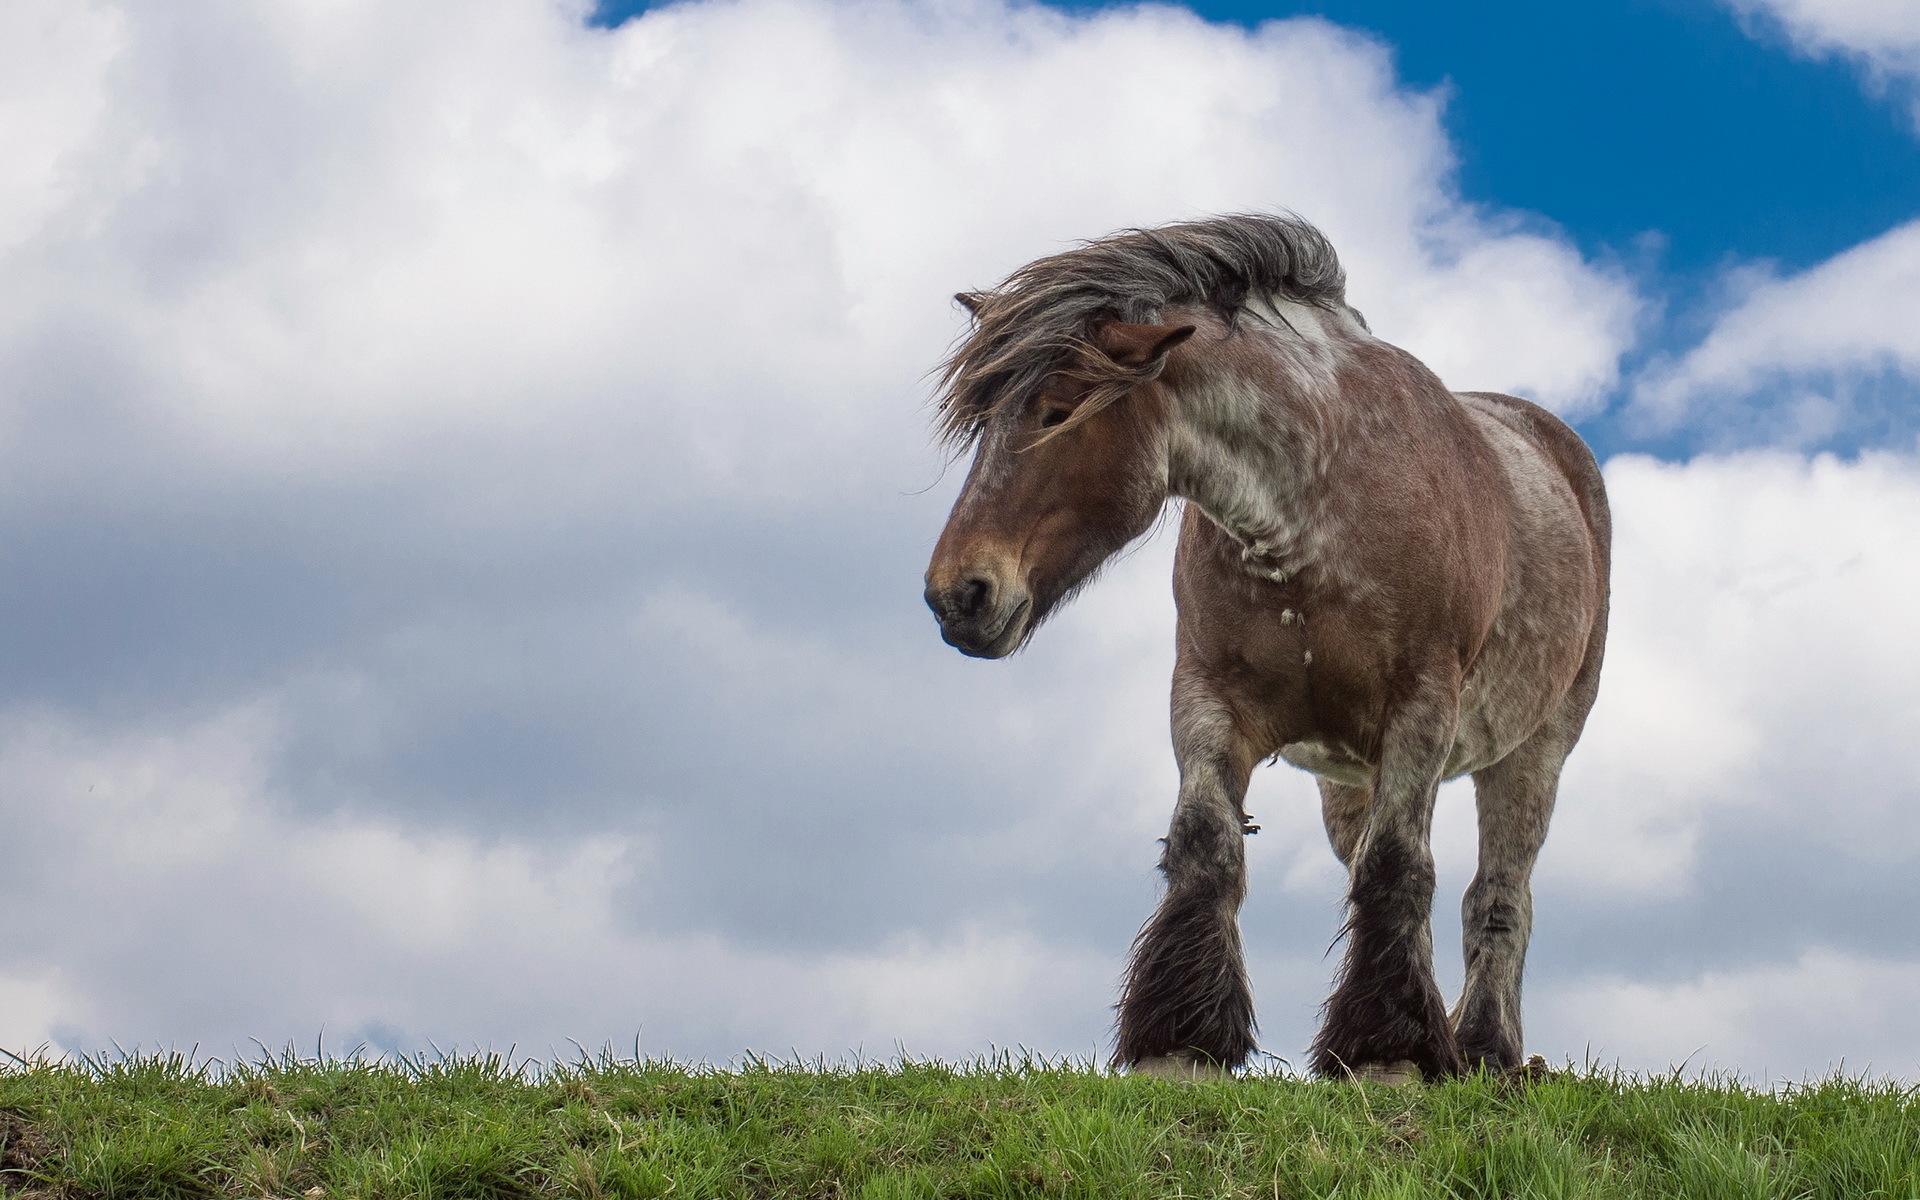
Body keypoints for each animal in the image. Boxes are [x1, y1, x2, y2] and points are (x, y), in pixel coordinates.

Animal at [921, 215, 1612, 1082]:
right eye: (984, 423)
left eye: (1057, 410)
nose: (957, 595)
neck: (1315, 506)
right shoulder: (1207, 698)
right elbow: (1208, 843)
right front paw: (1182, 1036)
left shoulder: (1423, 707)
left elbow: (1400, 864)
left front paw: (1389, 1049)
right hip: (1349, 775)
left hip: (1533, 751)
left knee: (1497, 895)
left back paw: (1485, 1047)